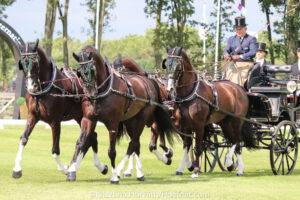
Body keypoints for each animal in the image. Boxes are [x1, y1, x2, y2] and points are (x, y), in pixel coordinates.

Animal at [13, 39, 109, 179]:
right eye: (22, 64)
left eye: (35, 62)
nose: (32, 87)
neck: (44, 88)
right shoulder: (32, 116)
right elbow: (23, 139)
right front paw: (17, 169)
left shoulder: (55, 121)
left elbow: (55, 150)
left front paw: (64, 169)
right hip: (79, 117)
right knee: (92, 138)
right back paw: (93, 167)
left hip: (87, 117)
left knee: (90, 138)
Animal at [68, 45, 175, 183]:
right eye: (79, 73)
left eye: (92, 70)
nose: (90, 94)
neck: (104, 91)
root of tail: (148, 80)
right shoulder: (88, 119)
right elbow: (81, 143)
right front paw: (71, 170)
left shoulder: (113, 124)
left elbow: (112, 151)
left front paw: (114, 176)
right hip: (130, 121)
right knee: (136, 144)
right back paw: (140, 173)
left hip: (141, 119)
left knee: (133, 143)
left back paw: (121, 170)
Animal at [162, 47, 255, 178]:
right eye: (167, 65)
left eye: (178, 66)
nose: (169, 88)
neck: (190, 93)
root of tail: (240, 89)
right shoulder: (185, 126)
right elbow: (186, 146)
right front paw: (181, 169)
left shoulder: (199, 126)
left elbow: (197, 148)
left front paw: (196, 171)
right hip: (225, 123)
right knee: (233, 141)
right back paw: (233, 164)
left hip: (237, 121)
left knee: (238, 141)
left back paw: (234, 165)